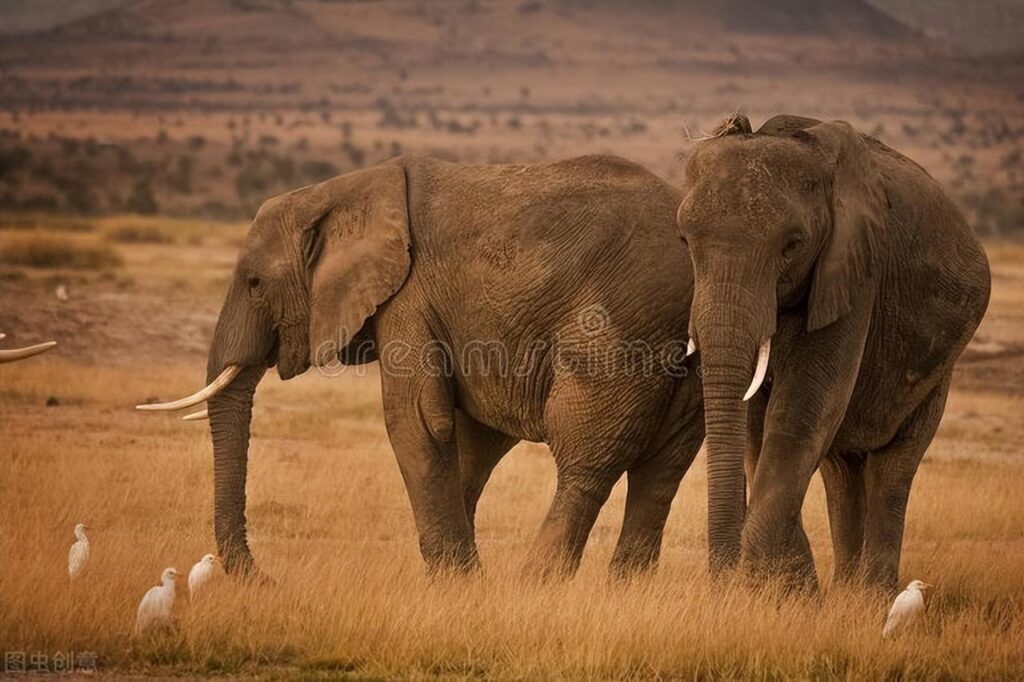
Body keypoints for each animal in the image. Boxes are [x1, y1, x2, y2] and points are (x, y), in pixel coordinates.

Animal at [140, 153, 704, 577]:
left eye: (255, 283)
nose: (264, 580)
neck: (345, 194)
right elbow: (468, 435)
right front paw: (461, 578)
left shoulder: (407, 298)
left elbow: (417, 418)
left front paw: (457, 582)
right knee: (664, 466)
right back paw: (624, 589)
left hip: (620, 325)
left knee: (588, 457)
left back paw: (535, 583)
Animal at [675, 112, 987, 589]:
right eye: (686, 243)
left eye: (792, 246)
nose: (723, 580)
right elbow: (756, 424)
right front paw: (789, 588)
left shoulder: (856, 269)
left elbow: (801, 409)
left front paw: (774, 588)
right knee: (842, 471)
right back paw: (844, 590)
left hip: (940, 368)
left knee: (894, 466)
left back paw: (871, 596)